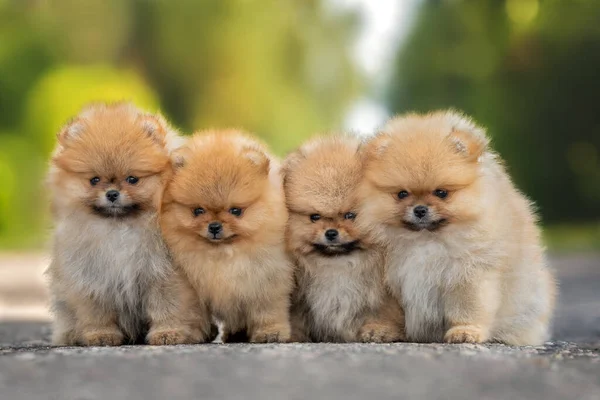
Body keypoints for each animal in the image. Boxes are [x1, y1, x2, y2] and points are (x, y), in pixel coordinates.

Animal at [44, 103, 210, 346]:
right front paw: (101, 335)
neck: (120, 226)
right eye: (94, 180)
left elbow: (167, 307)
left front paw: (168, 333)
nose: (112, 193)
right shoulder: (92, 277)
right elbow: (96, 313)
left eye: (133, 179)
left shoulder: (165, 274)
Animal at [158, 130, 292, 342]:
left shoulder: (267, 279)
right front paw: (193, 333)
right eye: (198, 211)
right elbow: (193, 313)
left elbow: (267, 310)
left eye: (235, 211)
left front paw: (271, 332)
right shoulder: (192, 286)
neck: (223, 254)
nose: (214, 226)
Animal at [284, 136, 406, 342]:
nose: (331, 232)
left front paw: (379, 330)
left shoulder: (383, 293)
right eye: (315, 217)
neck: (340, 264)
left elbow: (386, 312)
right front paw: (294, 335)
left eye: (350, 215)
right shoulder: (302, 297)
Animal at [356, 111, 556, 346]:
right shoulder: (387, 282)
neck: (424, 240)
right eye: (402, 194)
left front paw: (466, 331)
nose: (420, 209)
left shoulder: (468, 273)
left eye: (441, 193)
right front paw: (381, 329)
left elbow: (468, 307)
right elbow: (387, 311)